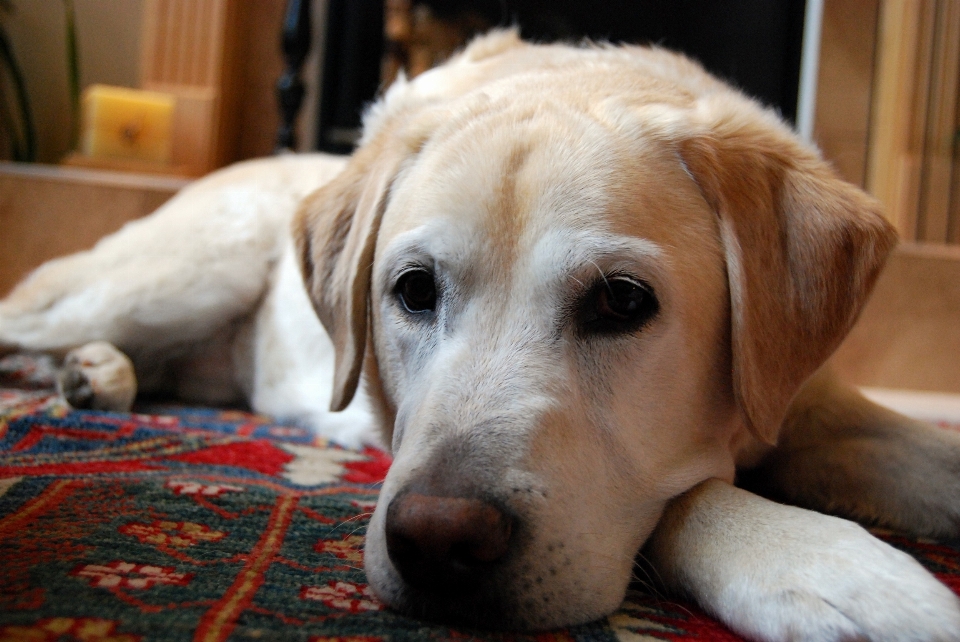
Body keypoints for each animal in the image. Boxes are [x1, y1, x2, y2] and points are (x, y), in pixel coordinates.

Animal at [1, 31, 960, 640]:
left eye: (622, 302)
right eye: (413, 290)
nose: (436, 542)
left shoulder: (810, 401)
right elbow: (688, 496)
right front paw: (838, 569)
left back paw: (98, 376)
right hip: (180, 274)